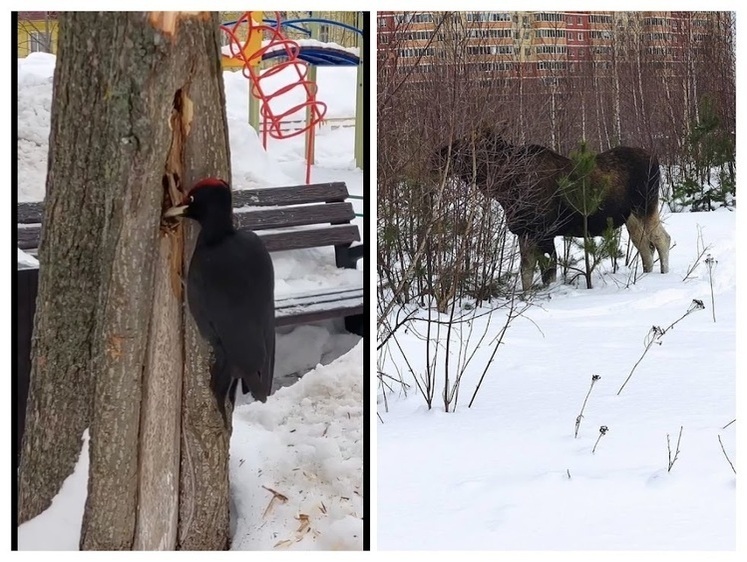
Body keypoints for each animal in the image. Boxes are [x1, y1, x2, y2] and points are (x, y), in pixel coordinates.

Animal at [432, 126, 672, 288]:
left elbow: (547, 273)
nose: (437, 154)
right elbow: (526, 273)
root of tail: (655, 159)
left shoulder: (544, 233)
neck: (505, 188)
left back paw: (663, 275)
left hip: (646, 206)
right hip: (631, 217)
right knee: (644, 245)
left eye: (466, 145)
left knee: (662, 239)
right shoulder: (524, 232)